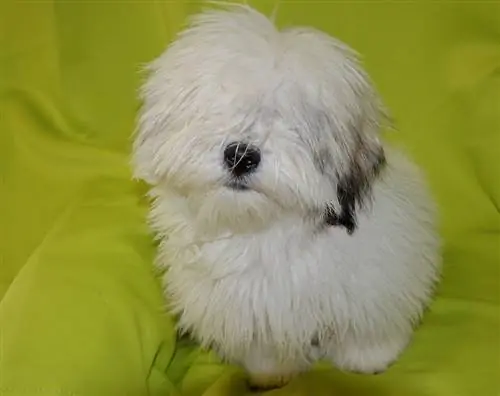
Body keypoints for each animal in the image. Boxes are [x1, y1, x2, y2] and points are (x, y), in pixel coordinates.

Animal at [133, 3, 442, 390]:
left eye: (294, 124)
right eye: (214, 109)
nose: (241, 156)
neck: (259, 230)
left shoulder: (373, 279)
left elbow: (366, 326)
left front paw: (367, 358)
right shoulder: (253, 312)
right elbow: (266, 347)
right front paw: (271, 373)